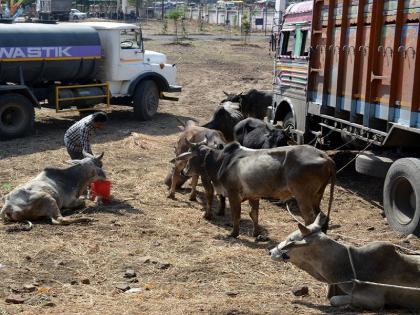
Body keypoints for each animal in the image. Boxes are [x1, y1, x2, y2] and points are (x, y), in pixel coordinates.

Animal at [173, 142, 334, 238]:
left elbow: (236, 214)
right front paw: (256, 234)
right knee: (320, 215)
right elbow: (254, 214)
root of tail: (324, 156)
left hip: (303, 197)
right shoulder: (254, 196)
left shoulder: (233, 194)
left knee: (309, 218)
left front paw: (233, 233)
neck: (222, 162)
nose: (184, 171)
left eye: (190, 157)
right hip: (317, 196)